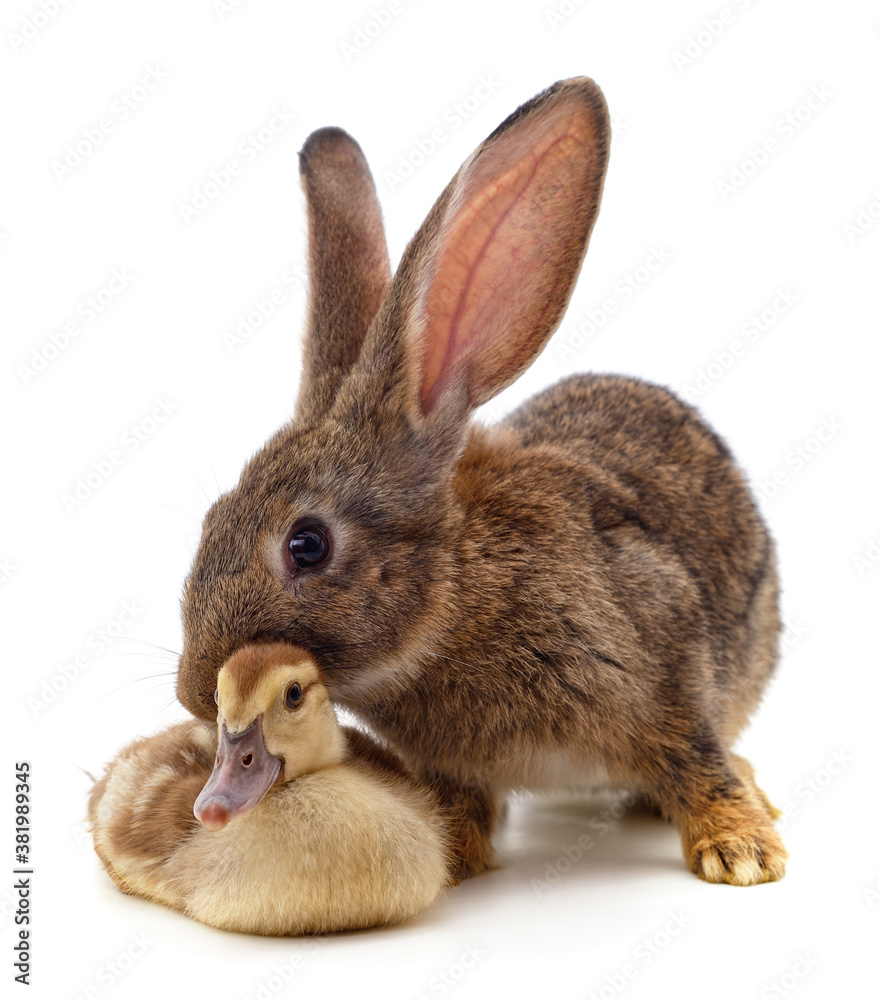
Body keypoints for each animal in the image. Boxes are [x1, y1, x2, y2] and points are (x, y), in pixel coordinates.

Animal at [175, 77, 787, 887]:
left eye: (306, 544)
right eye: (211, 518)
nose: (191, 691)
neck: (459, 593)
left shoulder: (667, 658)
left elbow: (696, 758)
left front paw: (743, 851)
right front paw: (453, 855)